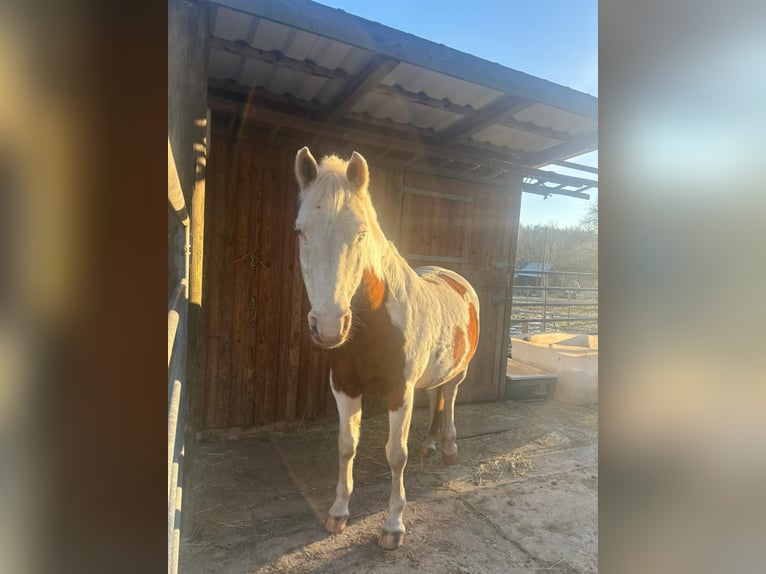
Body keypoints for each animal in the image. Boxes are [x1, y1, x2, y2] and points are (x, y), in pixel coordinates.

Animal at [293, 147, 480, 549]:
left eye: (361, 233)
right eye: (300, 231)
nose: (328, 325)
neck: (375, 327)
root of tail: (454, 278)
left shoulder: (399, 393)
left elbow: (396, 455)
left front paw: (393, 526)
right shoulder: (344, 388)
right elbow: (346, 445)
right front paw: (338, 513)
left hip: (458, 373)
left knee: (450, 399)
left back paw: (449, 449)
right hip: (429, 377)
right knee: (435, 398)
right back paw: (429, 444)